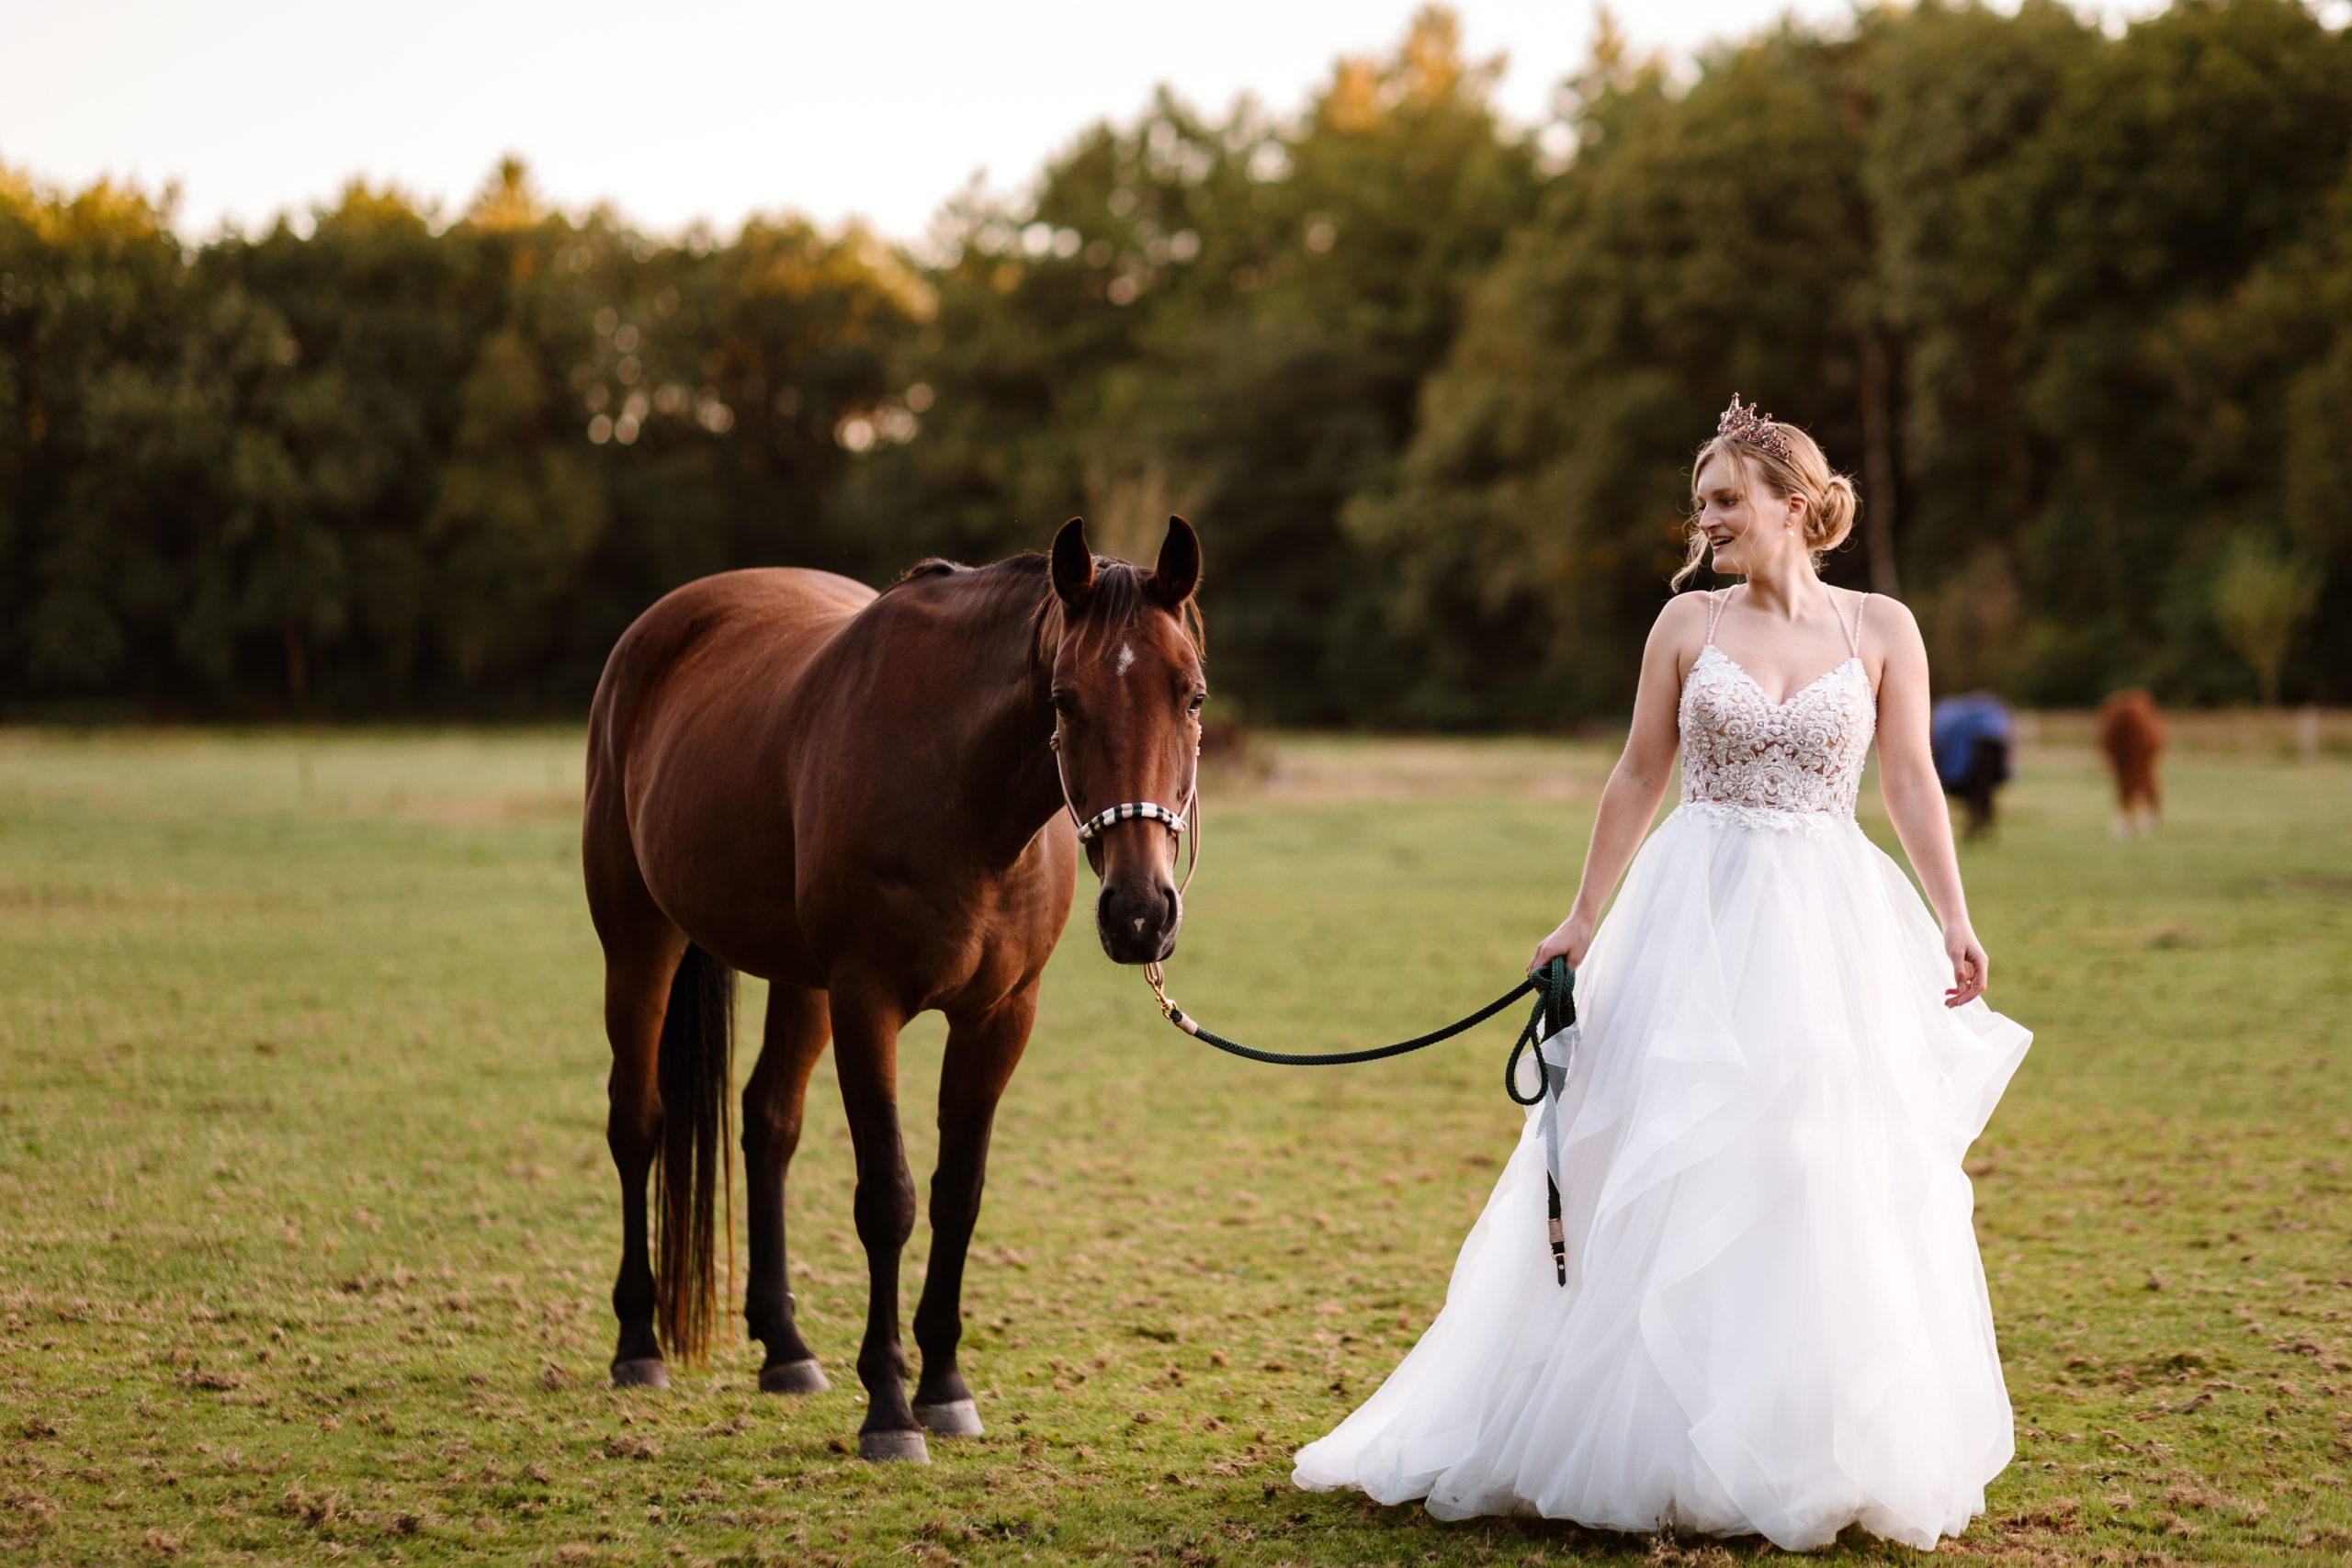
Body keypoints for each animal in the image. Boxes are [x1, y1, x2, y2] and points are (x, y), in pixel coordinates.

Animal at [581, 522, 1204, 1466]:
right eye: (1063, 702)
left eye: (1193, 696)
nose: (1140, 913)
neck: (964, 798)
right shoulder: (865, 1000)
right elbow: (889, 1198)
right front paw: (891, 1408)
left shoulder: (1000, 1016)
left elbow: (958, 1194)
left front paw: (945, 1385)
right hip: (641, 940)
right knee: (637, 1122)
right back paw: (637, 1343)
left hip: (799, 982)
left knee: (768, 1123)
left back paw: (786, 1348)